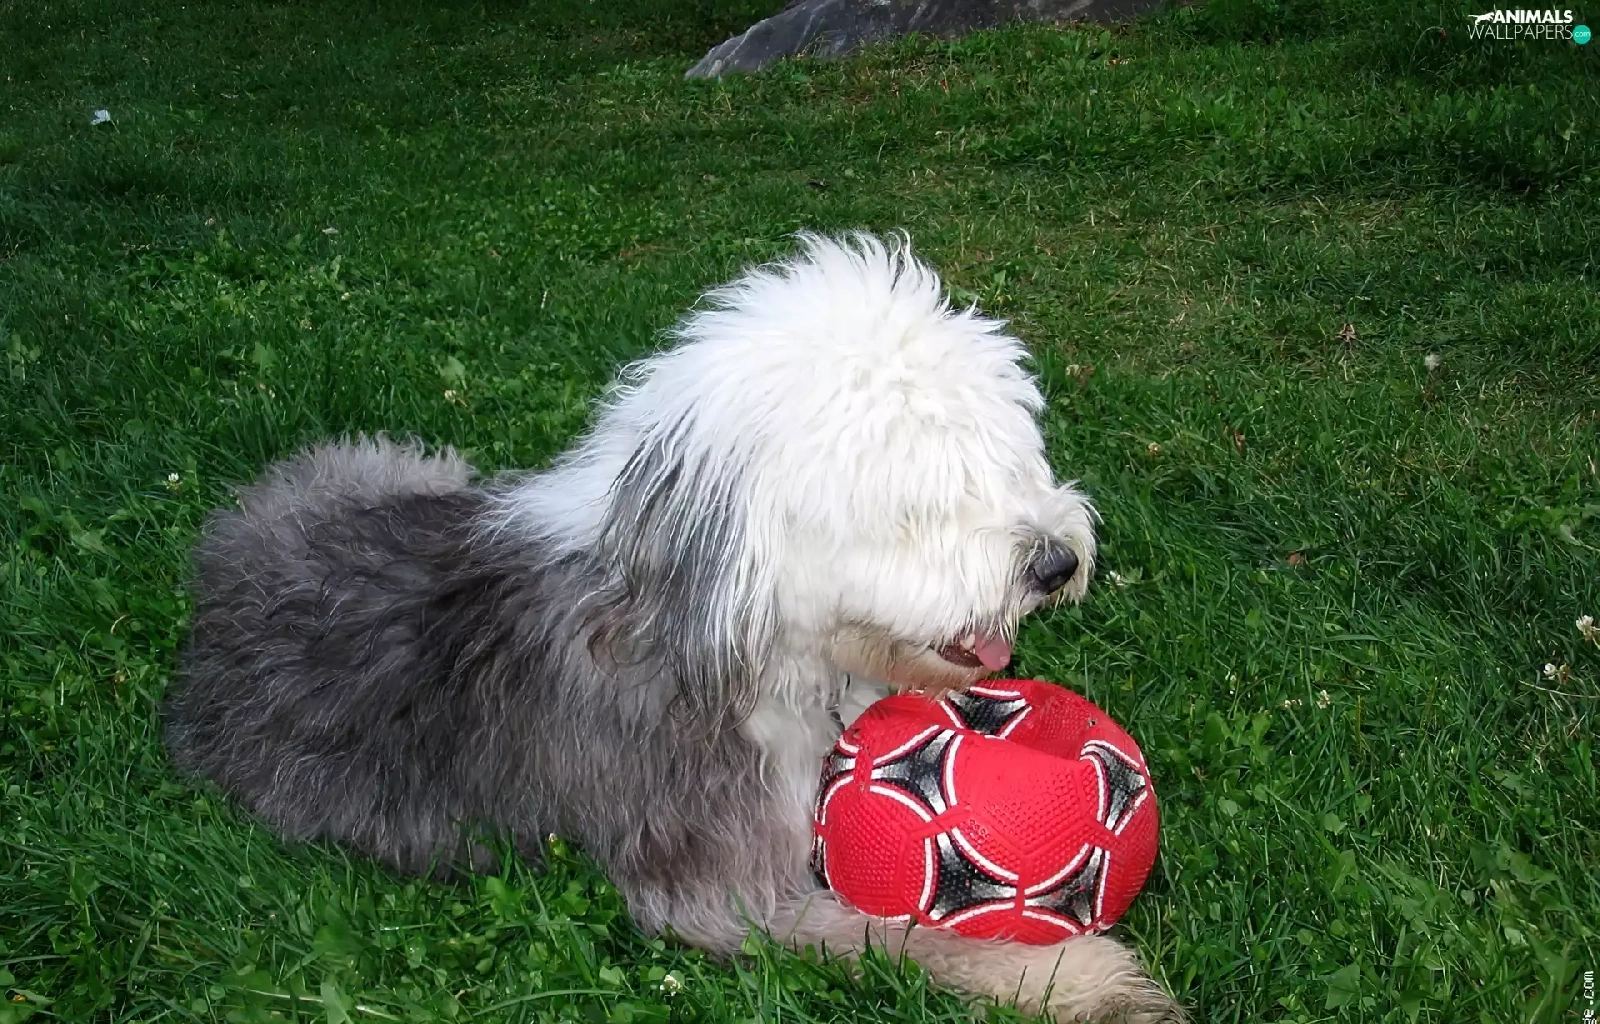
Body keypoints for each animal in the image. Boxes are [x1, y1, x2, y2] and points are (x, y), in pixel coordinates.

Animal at [163, 233, 1183, 1023]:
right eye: (918, 499)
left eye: (1011, 457)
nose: (1055, 563)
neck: (735, 627)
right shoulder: (713, 887)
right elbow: (897, 935)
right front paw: (1076, 973)